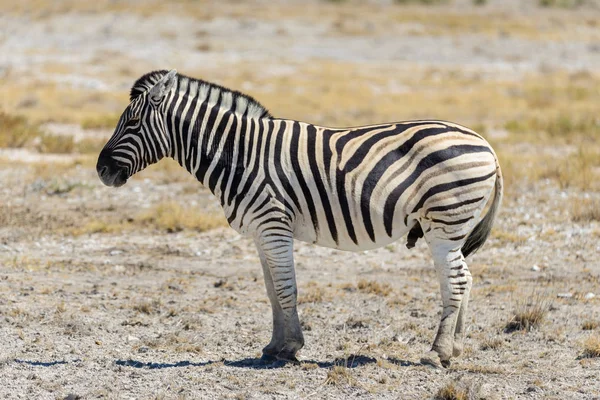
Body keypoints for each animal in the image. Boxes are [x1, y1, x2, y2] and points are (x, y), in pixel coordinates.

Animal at [97, 69, 502, 368]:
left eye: (132, 122)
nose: (101, 170)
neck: (238, 153)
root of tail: (486, 144)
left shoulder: (273, 224)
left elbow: (284, 288)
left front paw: (290, 348)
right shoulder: (260, 232)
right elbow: (271, 290)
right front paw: (275, 347)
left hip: (444, 222)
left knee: (457, 281)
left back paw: (437, 353)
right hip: (448, 227)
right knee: (464, 277)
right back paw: (456, 348)